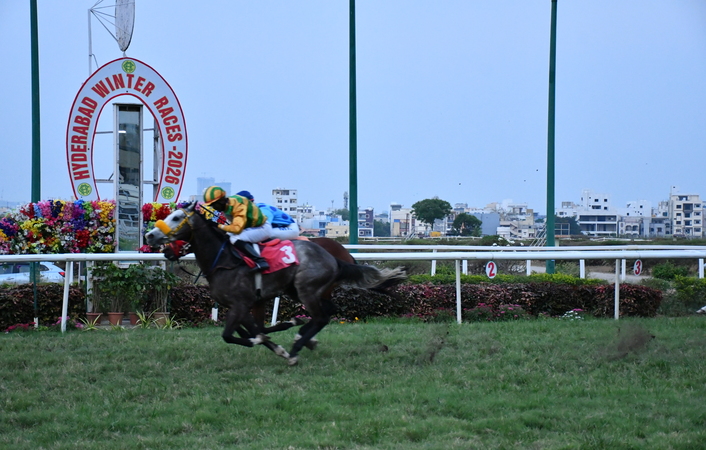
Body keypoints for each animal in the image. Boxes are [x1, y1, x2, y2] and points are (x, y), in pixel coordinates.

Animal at [145, 202, 406, 365]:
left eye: (176, 217)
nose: (150, 236)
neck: (224, 261)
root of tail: (337, 258)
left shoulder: (243, 303)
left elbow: (234, 334)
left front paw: (271, 342)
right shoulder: (241, 306)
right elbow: (251, 330)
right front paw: (276, 341)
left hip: (306, 289)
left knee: (321, 316)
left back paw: (297, 345)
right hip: (299, 291)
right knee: (326, 313)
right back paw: (302, 338)